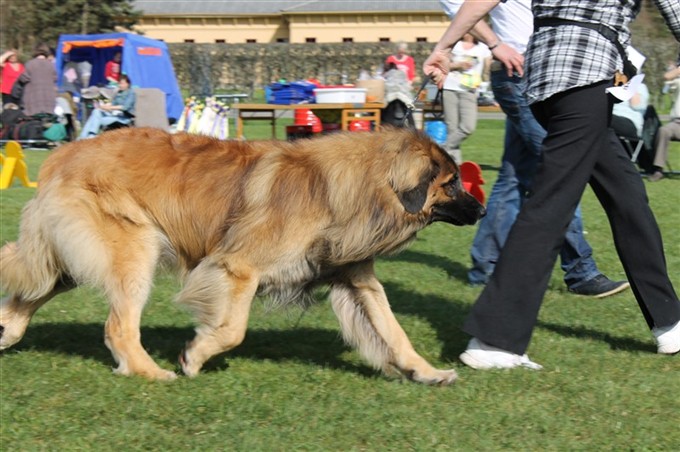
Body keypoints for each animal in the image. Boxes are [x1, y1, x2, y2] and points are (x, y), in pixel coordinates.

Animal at [2, 127, 486, 384]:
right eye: (452, 183)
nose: (482, 211)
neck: (355, 186)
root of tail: (62, 155)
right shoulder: (237, 268)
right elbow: (233, 329)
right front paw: (194, 356)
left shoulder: (355, 277)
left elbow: (393, 331)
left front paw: (427, 372)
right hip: (134, 251)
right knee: (118, 327)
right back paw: (151, 373)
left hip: (66, 262)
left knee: (26, 294)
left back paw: (6, 335)